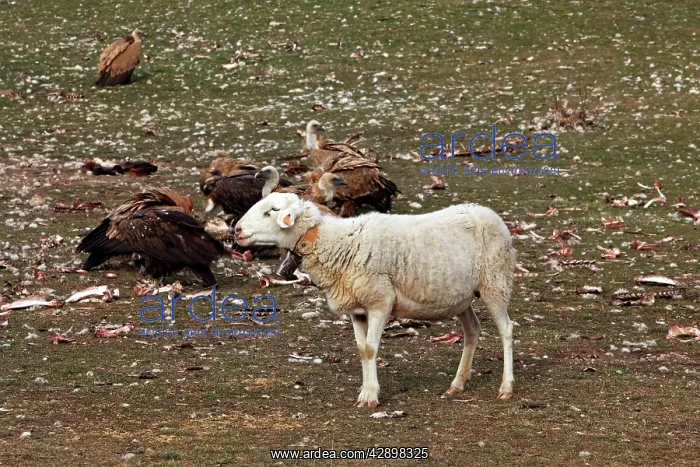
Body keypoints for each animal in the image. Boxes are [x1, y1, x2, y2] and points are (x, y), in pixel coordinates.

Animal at [234, 193, 516, 408]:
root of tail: (489, 213)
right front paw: (365, 390)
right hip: (461, 297)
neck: (333, 242)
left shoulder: (380, 301)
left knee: (506, 330)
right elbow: (362, 350)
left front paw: (370, 395)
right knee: (472, 330)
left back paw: (506, 387)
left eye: (272, 210)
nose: (237, 229)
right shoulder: (357, 309)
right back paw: (457, 384)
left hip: (495, 282)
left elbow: (371, 349)